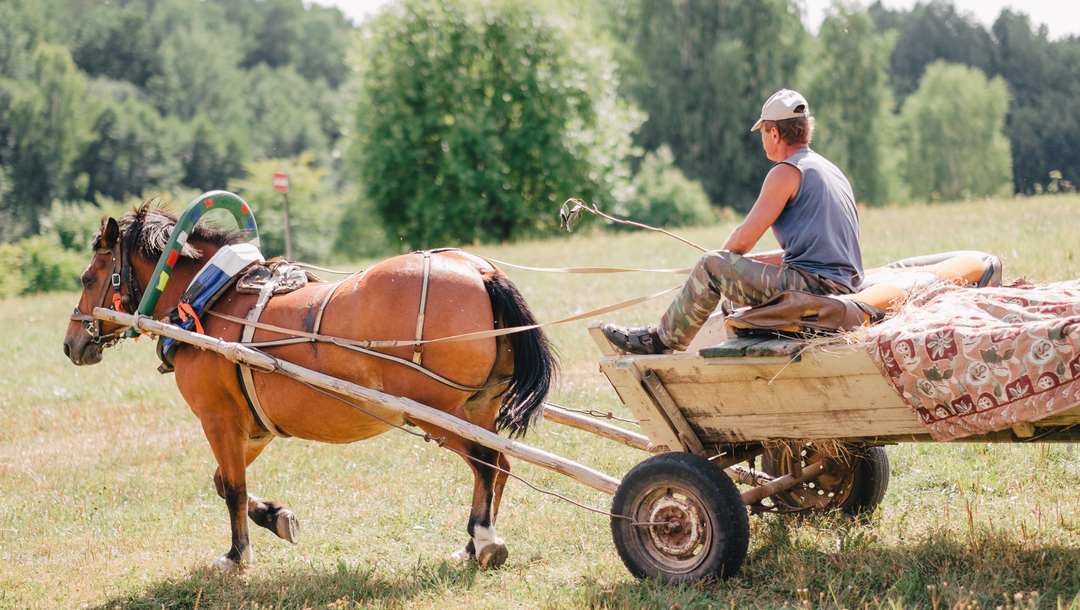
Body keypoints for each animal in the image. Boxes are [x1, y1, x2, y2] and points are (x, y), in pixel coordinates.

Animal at [62, 204, 557, 571]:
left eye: (88, 278)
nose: (71, 344)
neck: (210, 300)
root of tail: (480, 271)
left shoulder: (218, 419)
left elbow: (233, 489)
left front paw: (237, 555)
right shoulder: (255, 426)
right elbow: (223, 482)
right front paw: (277, 518)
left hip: (434, 410)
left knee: (488, 463)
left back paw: (485, 540)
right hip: (478, 408)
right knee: (499, 467)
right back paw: (472, 545)